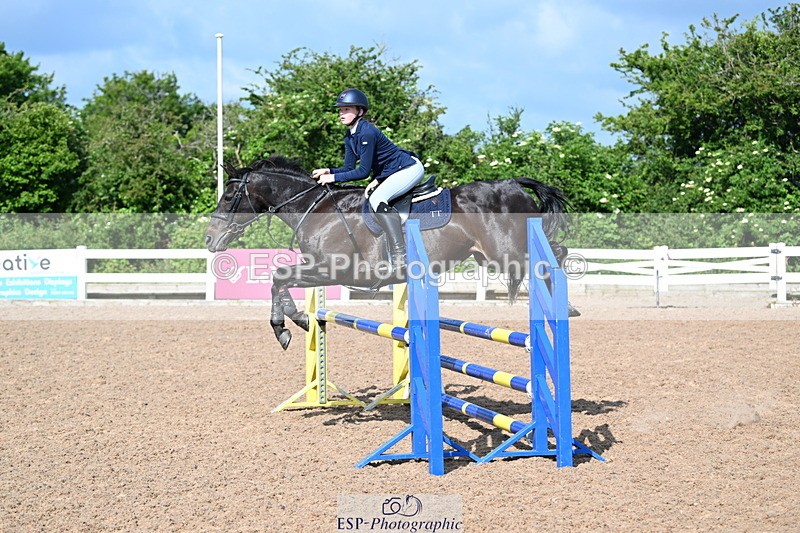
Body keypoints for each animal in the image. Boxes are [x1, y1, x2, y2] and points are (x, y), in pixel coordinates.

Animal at [205, 155, 572, 350]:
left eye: (228, 197)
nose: (210, 239)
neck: (315, 208)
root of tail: (511, 184)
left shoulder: (333, 268)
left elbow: (279, 277)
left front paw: (286, 326)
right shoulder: (319, 269)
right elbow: (280, 280)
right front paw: (300, 320)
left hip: (507, 252)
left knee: (553, 256)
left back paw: (565, 307)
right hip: (491, 255)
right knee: (556, 252)